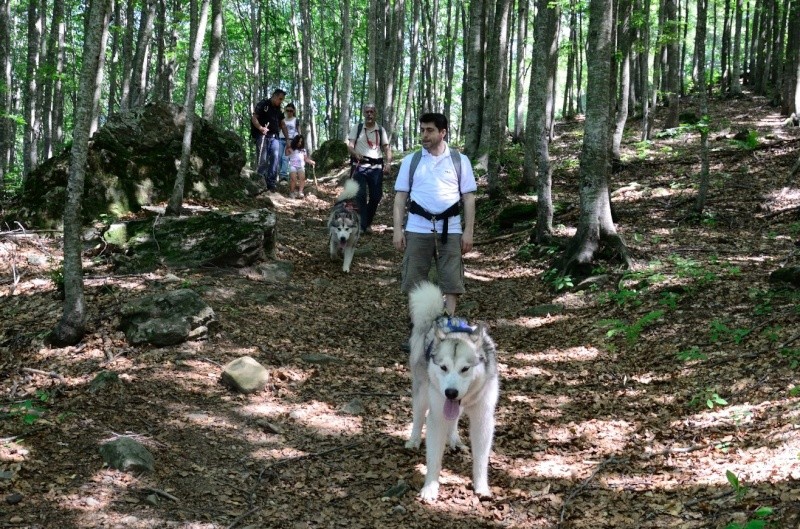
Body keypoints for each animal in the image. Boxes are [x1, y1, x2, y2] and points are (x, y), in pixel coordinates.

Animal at [406, 280, 500, 500]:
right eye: (443, 367)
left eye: (465, 369)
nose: (450, 392)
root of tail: (439, 317)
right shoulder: (437, 416)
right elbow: (433, 457)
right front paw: (430, 487)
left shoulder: (483, 418)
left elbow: (481, 458)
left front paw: (481, 486)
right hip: (422, 393)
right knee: (418, 416)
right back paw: (414, 439)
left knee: (454, 420)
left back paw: (454, 439)